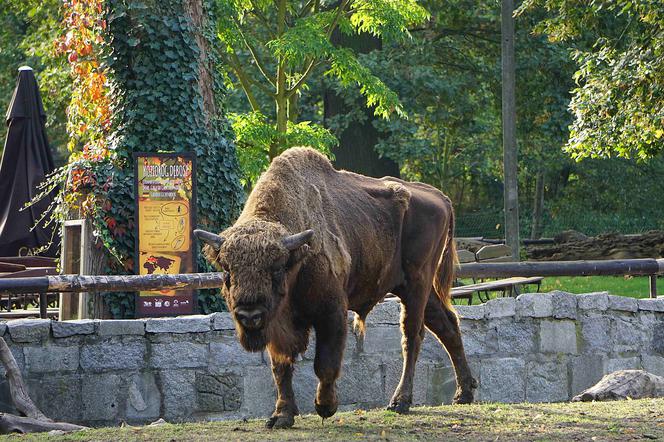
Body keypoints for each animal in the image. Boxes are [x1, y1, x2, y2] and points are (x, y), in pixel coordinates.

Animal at [195, 148, 474, 428]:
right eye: (227, 271)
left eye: (277, 269)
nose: (249, 315)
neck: (297, 256)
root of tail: (441, 197)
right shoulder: (277, 324)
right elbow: (281, 367)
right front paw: (281, 416)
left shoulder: (331, 312)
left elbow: (325, 363)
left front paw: (325, 407)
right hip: (415, 290)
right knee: (447, 326)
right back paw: (464, 394)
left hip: (417, 284)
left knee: (412, 336)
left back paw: (400, 402)